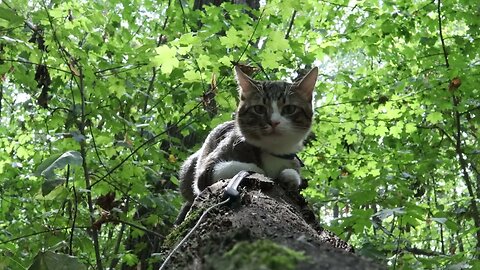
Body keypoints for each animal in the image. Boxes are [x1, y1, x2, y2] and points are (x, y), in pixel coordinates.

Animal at [176, 65, 318, 224]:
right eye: (259, 109)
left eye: (289, 109)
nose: (274, 122)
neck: (272, 150)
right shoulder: (207, 169)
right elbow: (239, 168)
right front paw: (261, 171)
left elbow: (292, 173)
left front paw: (290, 177)